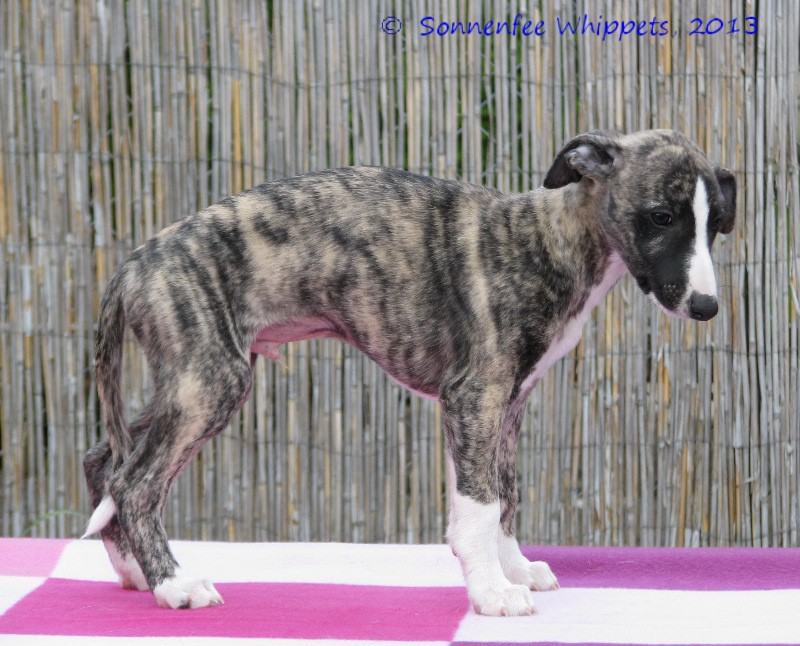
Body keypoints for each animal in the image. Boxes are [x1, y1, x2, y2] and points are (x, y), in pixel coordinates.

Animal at [83, 129, 736, 615]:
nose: (707, 307)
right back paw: (173, 585)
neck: (549, 239)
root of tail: (136, 262)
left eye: (715, 225)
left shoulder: (510, 402)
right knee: (135, 482)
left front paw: (514, 569)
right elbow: (479, 505)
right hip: (211, 381)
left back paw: (133, 570)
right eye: (661, 216)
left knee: (104, 460)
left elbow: (506, 495)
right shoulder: (474, 396)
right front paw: (492, 592)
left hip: (190, 376)